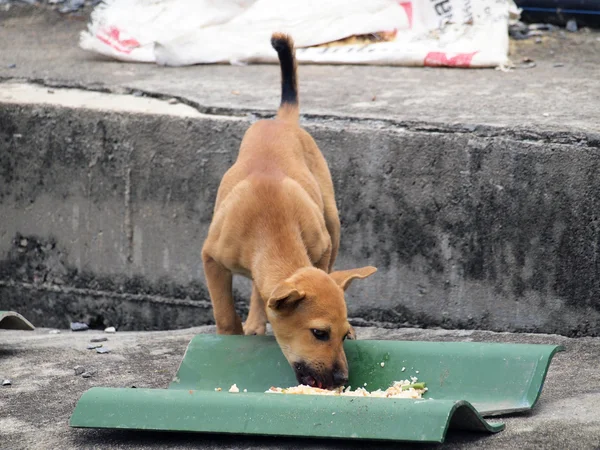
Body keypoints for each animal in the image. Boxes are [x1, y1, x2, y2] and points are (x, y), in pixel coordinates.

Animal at [204, 32, 378, 390]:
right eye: (319, 333)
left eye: (342, 336)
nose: (341, 378)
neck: (271, 225)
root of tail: (281, 121)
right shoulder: (212, 258)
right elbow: (225, 312)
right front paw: (230, 338)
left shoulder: (322, 248)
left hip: (333, 221)